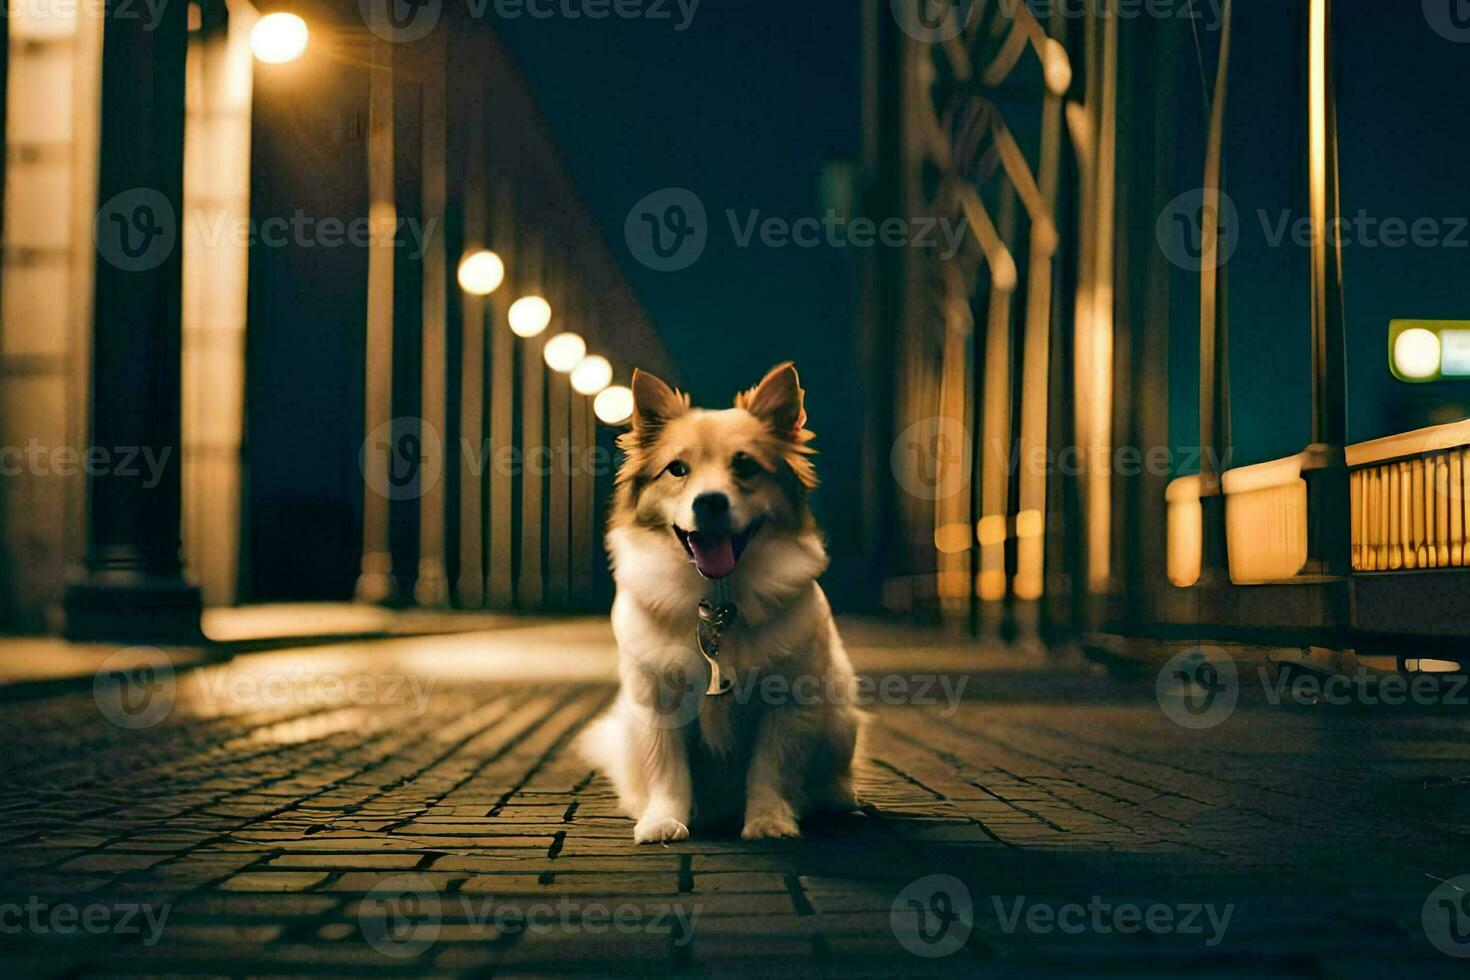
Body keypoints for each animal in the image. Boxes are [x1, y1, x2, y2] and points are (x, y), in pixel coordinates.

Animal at [579, 362, 864, 846]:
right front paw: (663, 820)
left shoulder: (789, 702)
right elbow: (667, 772)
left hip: (840, 720)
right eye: (677, 469)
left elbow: (771, 769)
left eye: (745, 465)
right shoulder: (657, 704)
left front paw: (769, 821)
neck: (716, 600)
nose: (710, 501)